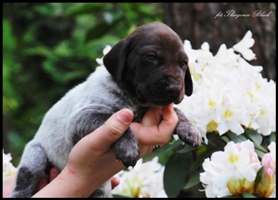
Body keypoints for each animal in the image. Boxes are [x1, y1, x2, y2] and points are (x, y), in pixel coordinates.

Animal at [10, 21, 202, 197]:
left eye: (183, 63)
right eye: (151, 57)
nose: (175, 89)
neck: (135, 100)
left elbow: (177, 112)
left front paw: (189, 129)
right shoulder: (81, 119)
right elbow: (116, 120)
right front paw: (128, 146)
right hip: (35, 156)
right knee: (23, 185)